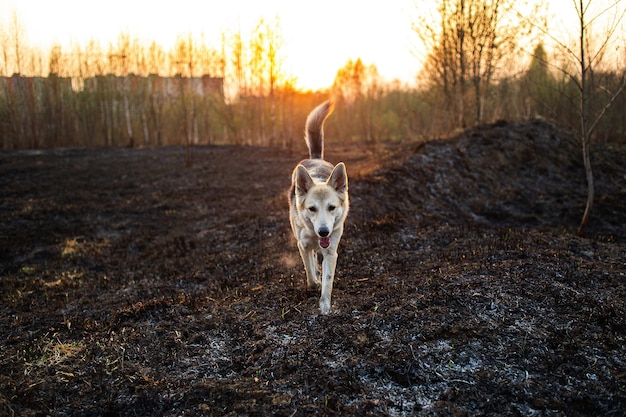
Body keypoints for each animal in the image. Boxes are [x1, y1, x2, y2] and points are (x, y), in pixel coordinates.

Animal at [286, 101, 346, 314]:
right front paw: (315, 282)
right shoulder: (302, 245)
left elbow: (328, 282)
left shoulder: (331, 251)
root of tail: (316, 158)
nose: (323, 231)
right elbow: (310, 275)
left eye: (332, 207)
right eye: (312, 209)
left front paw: (325, 308)